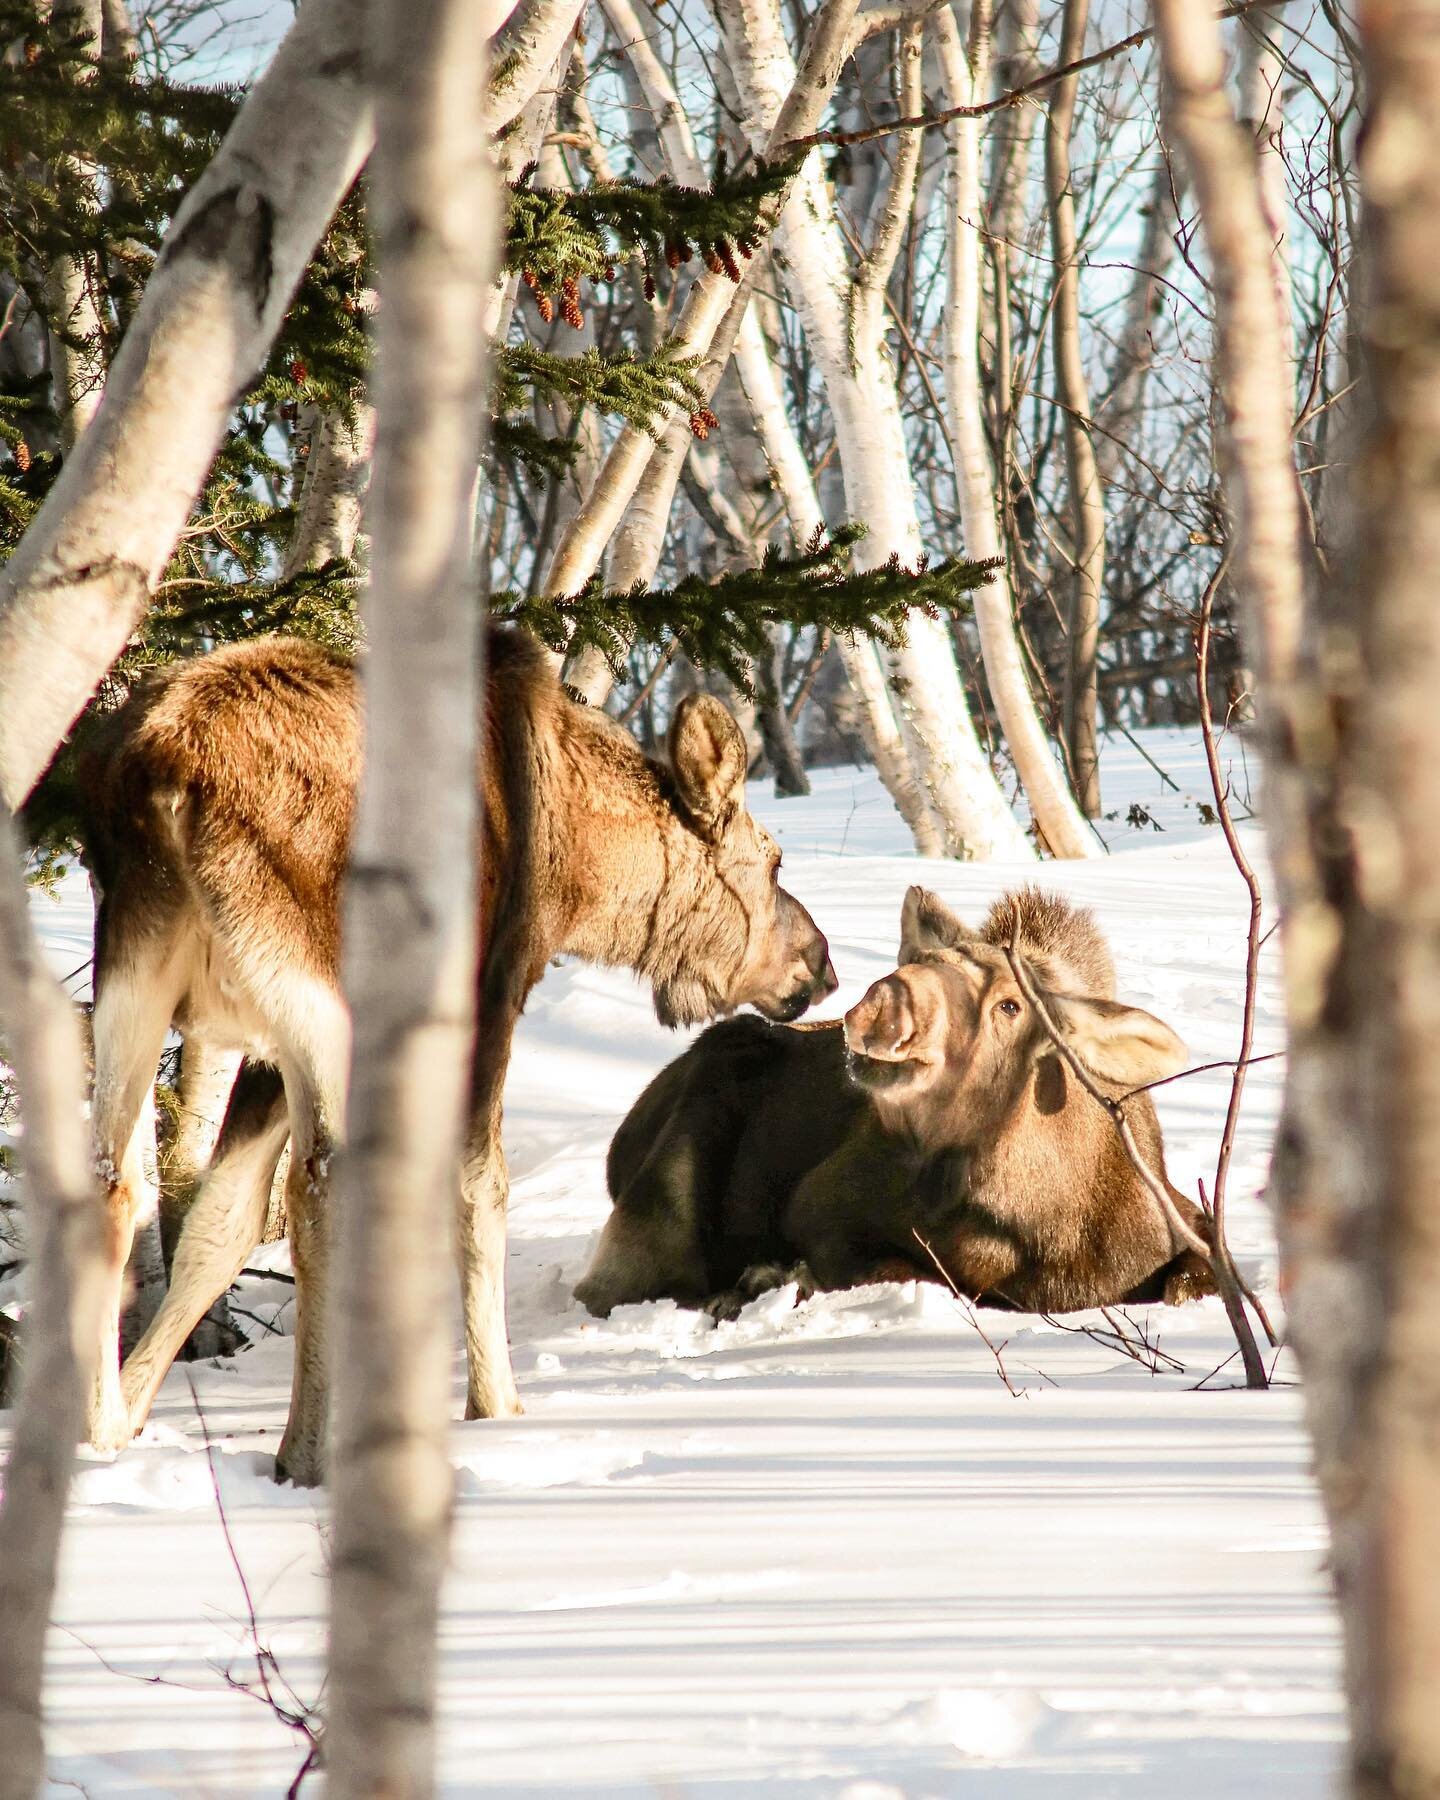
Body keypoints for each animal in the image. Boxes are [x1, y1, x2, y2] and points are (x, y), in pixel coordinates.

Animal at [576, 885, 1216, 1324]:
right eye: (925, 962)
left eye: (1011, 1006)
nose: (885, 998)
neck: (1039, 1223)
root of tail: (616, 1148)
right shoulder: (821, 1210)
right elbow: (914, 1275)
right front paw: (778, 1277)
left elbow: (1191, 1283)